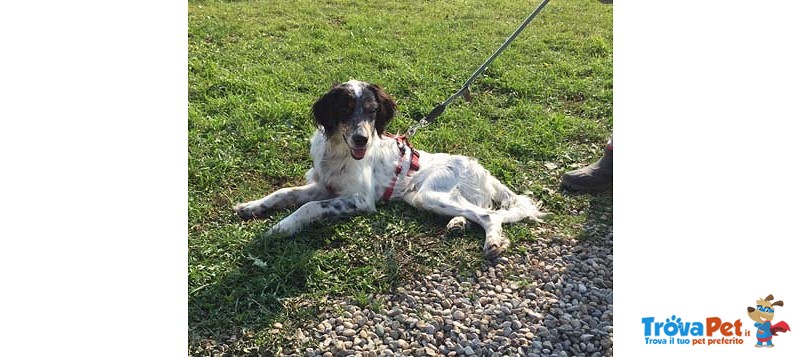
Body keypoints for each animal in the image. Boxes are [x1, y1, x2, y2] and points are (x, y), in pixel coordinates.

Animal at [233, 79, 544, 258]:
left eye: (372, 111)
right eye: (345, 109)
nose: (361, 138)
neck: (338, 150)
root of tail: (480, 168)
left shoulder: (360, 199)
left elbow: (308, 208)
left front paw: (281, 227)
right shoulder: (324, 186)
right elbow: (284, 192)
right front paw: (252, 207)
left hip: (426, 193)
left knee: (489, 215)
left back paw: (492, 242)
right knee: (478, 211)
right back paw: (457, 224)